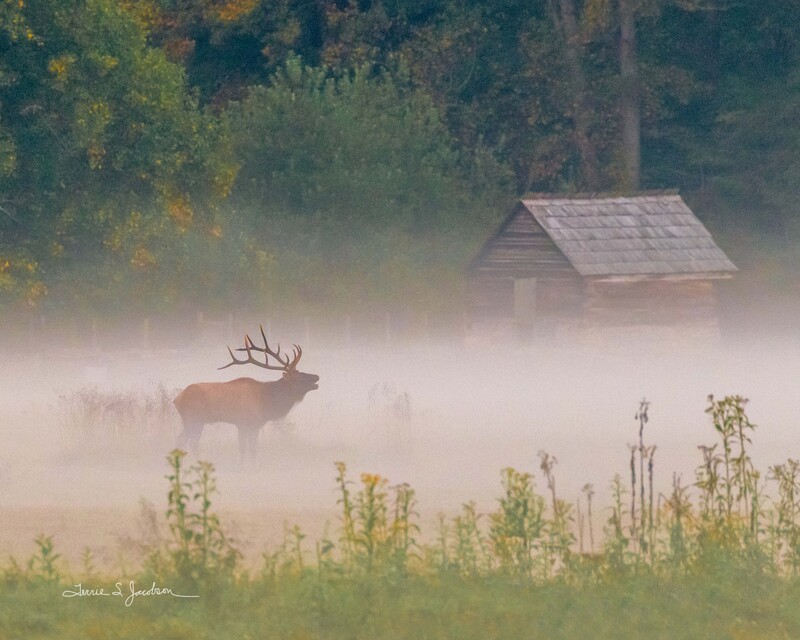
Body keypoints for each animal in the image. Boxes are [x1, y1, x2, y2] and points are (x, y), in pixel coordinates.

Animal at [173, 326, 319, 460]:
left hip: (190, 421)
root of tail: (177, 399)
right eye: (298, 377)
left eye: (300, 372)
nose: (316, 376)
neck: (267, 401)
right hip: (194, 419)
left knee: (181, 440)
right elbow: (247, 450)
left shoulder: (251, 425)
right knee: (191, 442)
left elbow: (249, 449)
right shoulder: (245, 423)